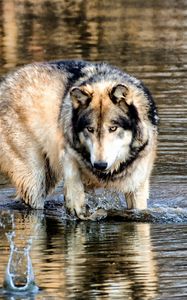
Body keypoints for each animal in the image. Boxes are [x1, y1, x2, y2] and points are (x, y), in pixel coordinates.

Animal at [0, 61, 158, 219]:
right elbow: (73, 176)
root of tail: (5, 83)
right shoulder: (67, 150)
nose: (100, 165)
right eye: (90, 129)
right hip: (35, 181)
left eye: (113, 128)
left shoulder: (137, 186)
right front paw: (77, 205)